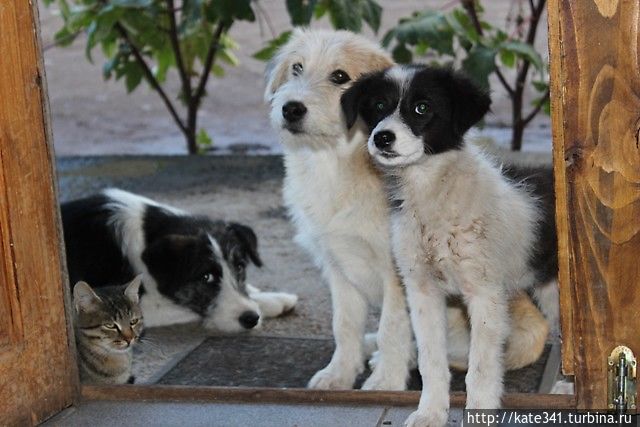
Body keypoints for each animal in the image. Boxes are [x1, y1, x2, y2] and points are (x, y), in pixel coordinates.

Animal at [342, 65, 556, 426]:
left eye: (422, 108)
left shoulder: (484, 295)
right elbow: (431, 361)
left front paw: (479, 413)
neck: (432, 192)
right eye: (379, 106)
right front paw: (430, 412)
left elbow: (480, 369)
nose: (382, 137)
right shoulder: (422, 291)